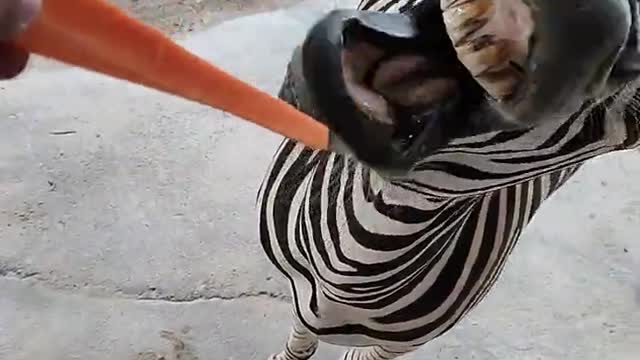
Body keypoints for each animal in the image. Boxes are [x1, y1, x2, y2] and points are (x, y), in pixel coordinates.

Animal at [255, 0, 640, 358]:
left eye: (634, 129)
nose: (589, 17)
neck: (349, 268)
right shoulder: (302, 298)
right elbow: (302, 336)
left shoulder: (401, 344)